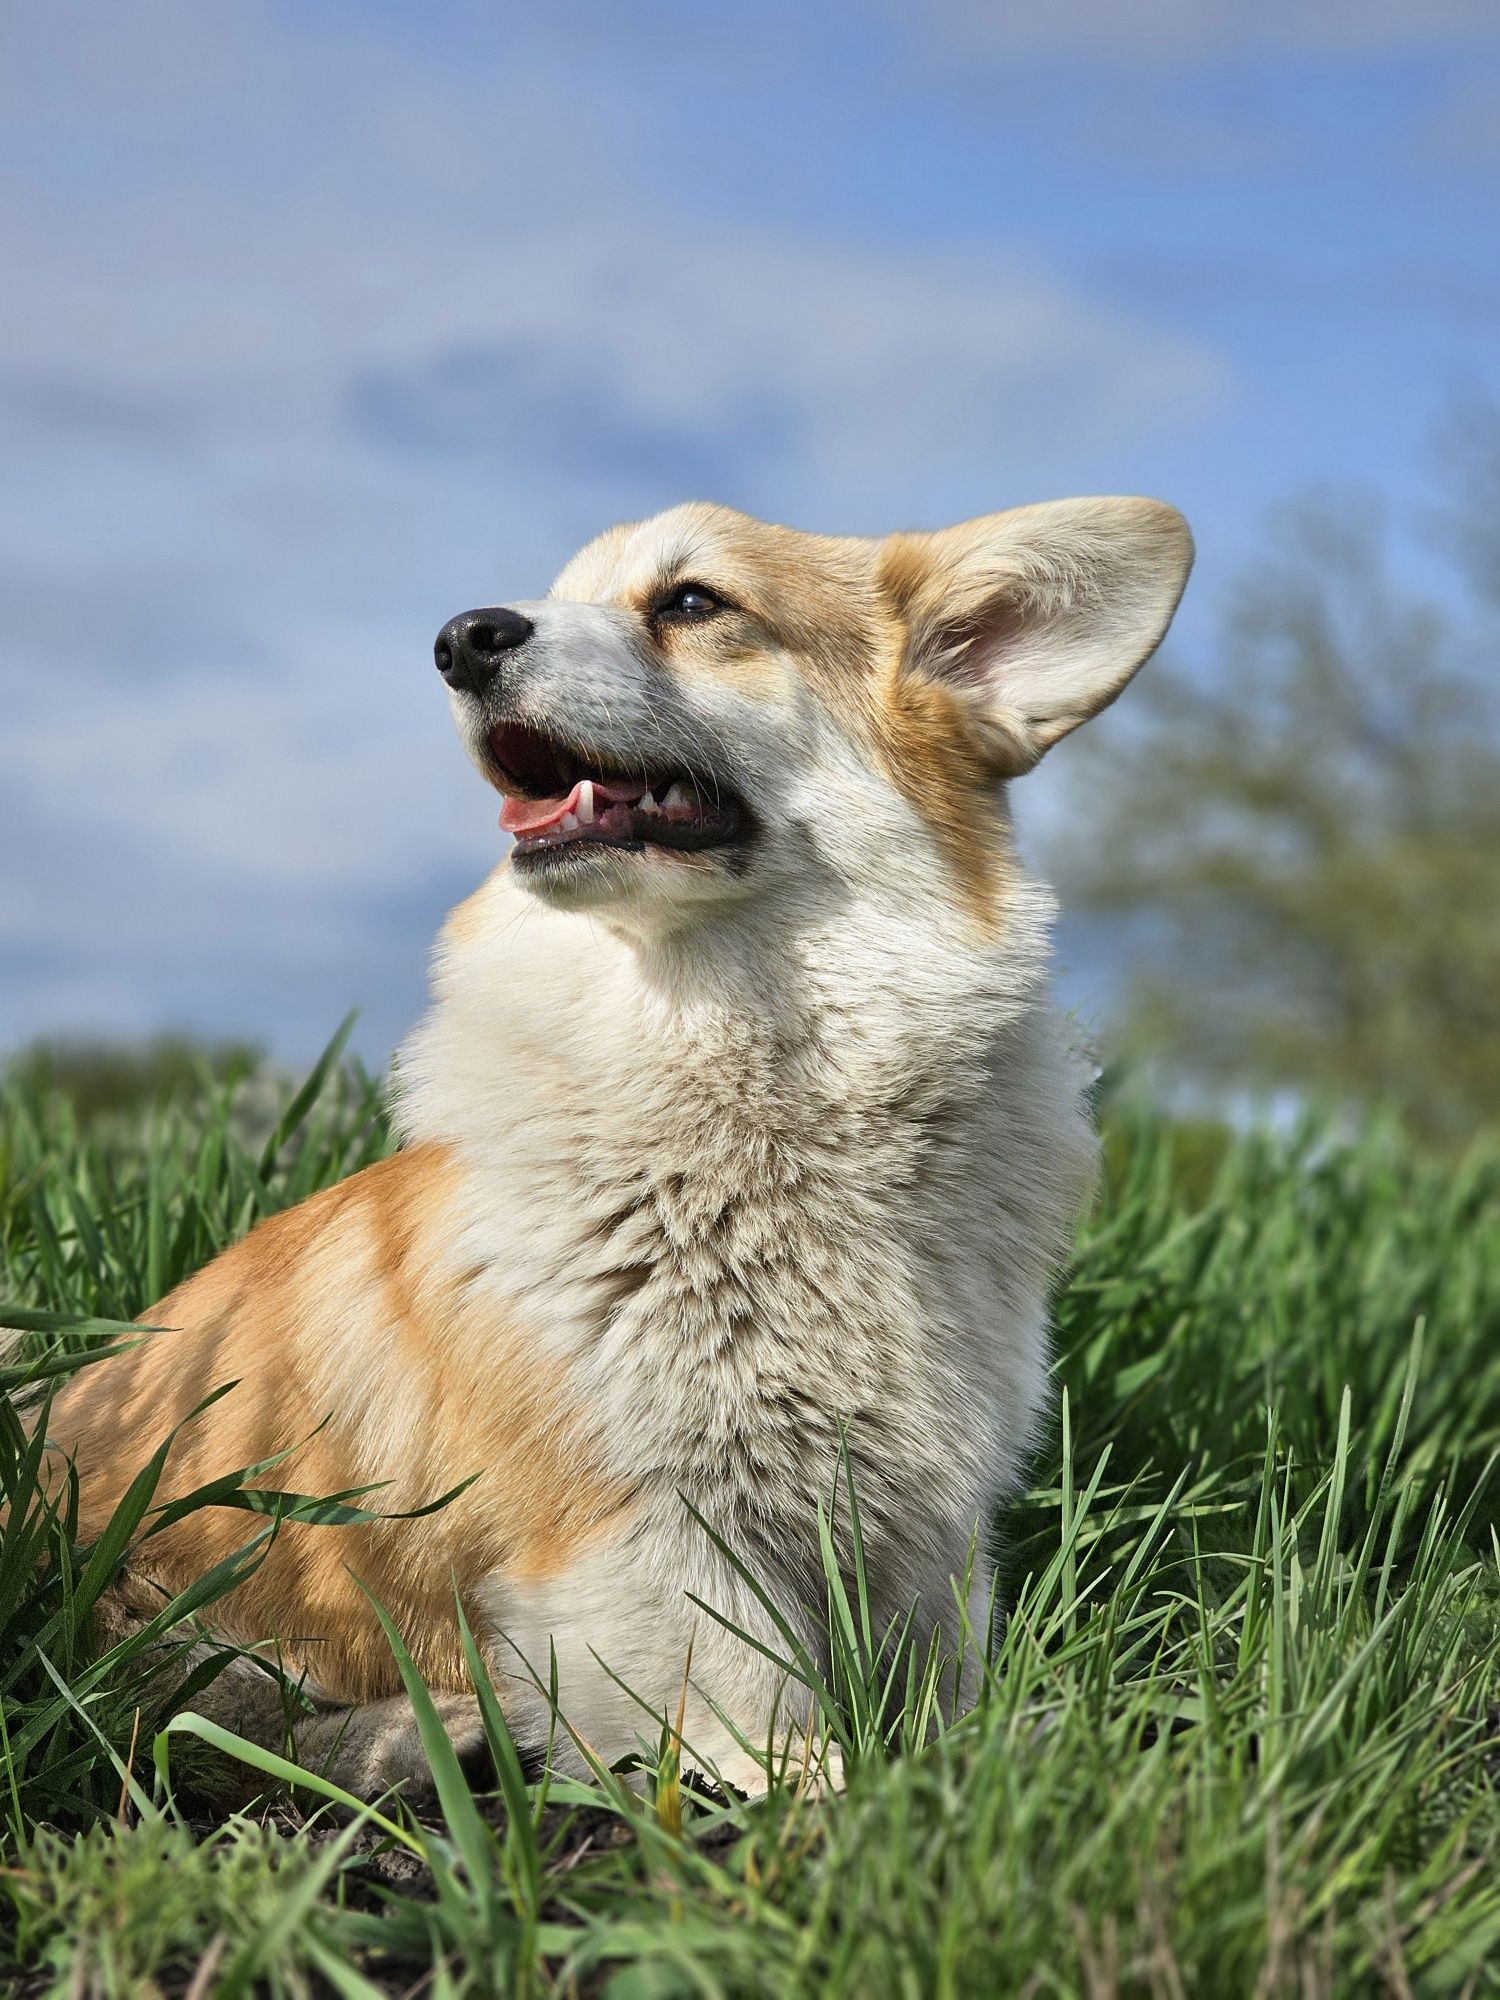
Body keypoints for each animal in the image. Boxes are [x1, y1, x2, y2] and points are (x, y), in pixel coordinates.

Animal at [50, 496, 1200, 1800]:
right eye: (549, 596)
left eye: (692, 602)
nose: (461, 637)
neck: (762, 1097)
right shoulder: (643, 1521)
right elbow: (769, 1712)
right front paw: (834, 1787)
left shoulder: (927, 1524)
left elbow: (945, 1692)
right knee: (196, 1711)